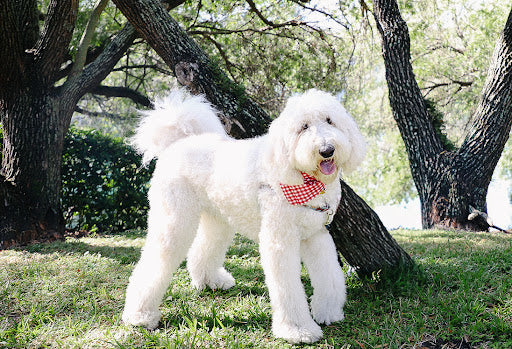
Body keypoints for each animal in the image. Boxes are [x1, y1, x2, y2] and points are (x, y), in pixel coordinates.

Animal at [122, 87, 366, 342]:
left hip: (217, 220)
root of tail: (179, 142)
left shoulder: (316, 235)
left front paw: (328, 311)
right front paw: (297, 330)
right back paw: (140, 316)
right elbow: (288, 287)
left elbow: (330, 276)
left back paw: (211, 281)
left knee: (203, 249)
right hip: (174, 220)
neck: (303, 179)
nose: (327, 150)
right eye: (304, 127)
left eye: (330, 121)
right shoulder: (279, 242)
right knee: (153, 263)